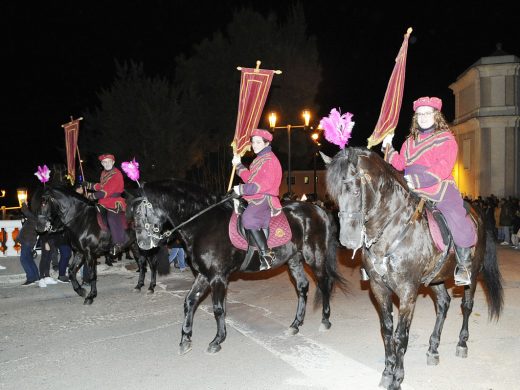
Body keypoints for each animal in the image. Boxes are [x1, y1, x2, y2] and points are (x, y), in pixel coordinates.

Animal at [130, 178, 346, 354]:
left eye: (140, 211)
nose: (142, 245)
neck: (204, 223)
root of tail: (318, 210)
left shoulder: (218, 277)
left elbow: (218, 308)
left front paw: (217, 340)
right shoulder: (204, 275)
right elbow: (190, 301)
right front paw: (185, 339)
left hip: (315, 258)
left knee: (325, 284)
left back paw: (325, 320)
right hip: (294, 260)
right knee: (302, 287)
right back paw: (295, 324)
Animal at [322, 148, 502, 390]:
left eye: (355, 189)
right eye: (334, 196)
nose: (347, 240)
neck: (391, 230)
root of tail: (477, 214)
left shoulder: (408, 291)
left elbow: (401, 335)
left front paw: (397, 378)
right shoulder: (379, 288)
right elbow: (387, 330)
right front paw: (387, 372)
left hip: (472, 276)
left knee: (466, 306)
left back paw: (462, 343)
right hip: (435, 278)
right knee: (443, 304)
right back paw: (433, 349)